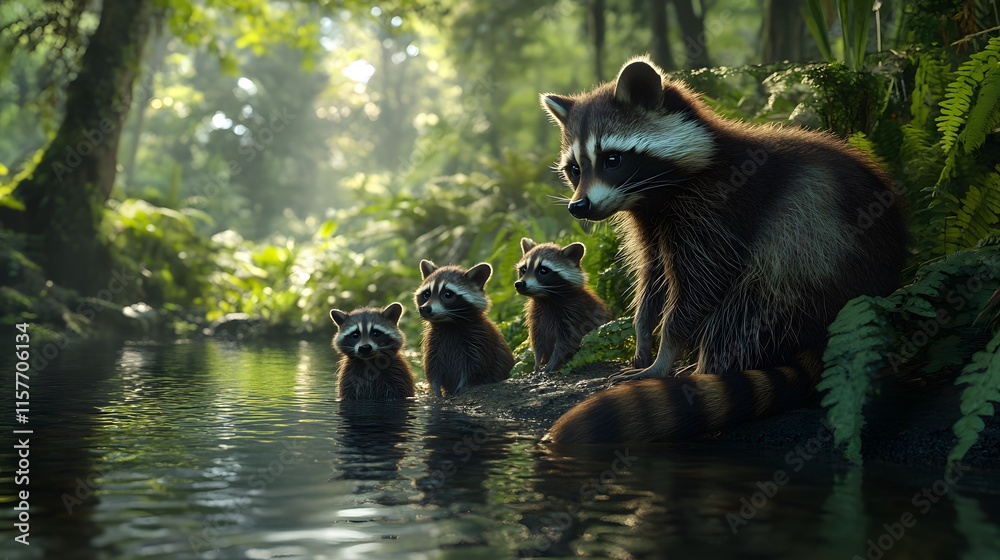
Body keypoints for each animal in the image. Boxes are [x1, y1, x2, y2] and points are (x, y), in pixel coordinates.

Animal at [415, 260, 515, 397]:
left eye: (447, 294)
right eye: (426, 294)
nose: (424, 309)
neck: (449, 324)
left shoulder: (479, 336)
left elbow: (475, 368)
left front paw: (462, 386)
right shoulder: (433, 341)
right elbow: (432, 368)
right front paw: (435, 390)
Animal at [515, 238, 613, 373]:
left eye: (543, 270)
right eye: (523, 270)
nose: (519, 284)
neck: (546, 299)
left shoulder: (576, 311)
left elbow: (567, 341)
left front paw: (552, 363)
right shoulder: (535, 315)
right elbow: (538, 341)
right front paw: (538, 362)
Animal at [539, 57, 908, 443]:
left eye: (612, 159)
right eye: (574, 169)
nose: (578, 207)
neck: (653, 197)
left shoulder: (721, 206)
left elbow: (700, 286)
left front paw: (664, 354)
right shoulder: (652, 223)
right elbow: (654, 276)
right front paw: (643, 333)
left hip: (808, 265)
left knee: (743, 312)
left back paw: (703, 374)